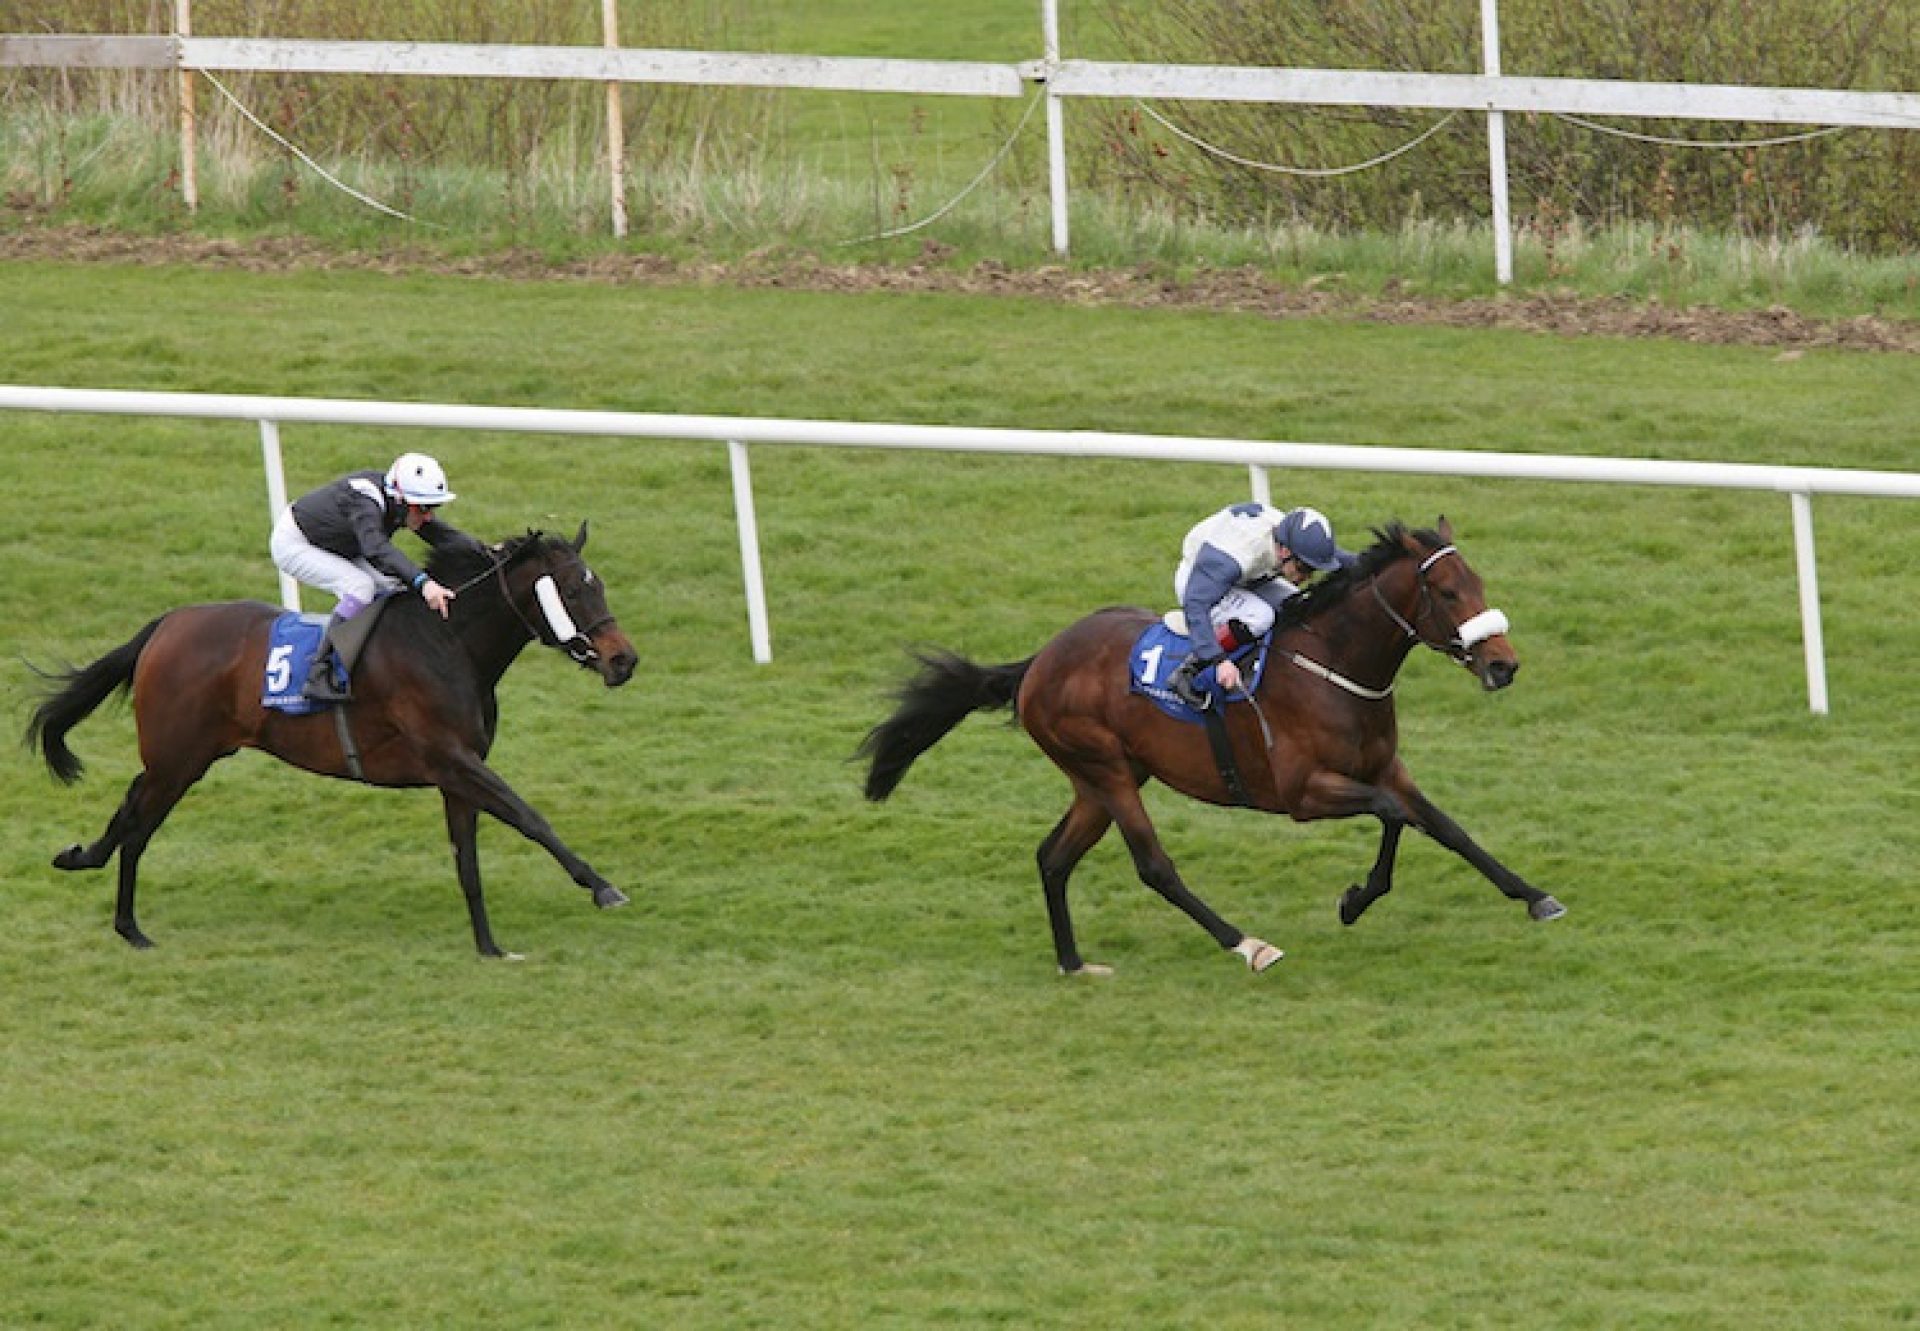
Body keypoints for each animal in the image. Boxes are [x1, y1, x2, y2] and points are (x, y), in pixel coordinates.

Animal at [26, 522, 637, 956]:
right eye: (570, 592)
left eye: (600, 586)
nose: (623, 660)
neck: (449, 644)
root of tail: (166, 624)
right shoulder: (451, 757)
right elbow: (529, 816)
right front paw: (602, 886)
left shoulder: (456, 773)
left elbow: (468, 860)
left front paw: (489, 947)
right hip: (178, 758)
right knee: (138, 823)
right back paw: (127, 923)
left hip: (185, 757)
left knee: (133, 809)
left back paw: (96, 880)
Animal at [864, 518, 1566, 975]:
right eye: (1447, 593)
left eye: (1478, 582)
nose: (1503, 665)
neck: (1334, 668)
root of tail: (1038, 662)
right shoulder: (1304, 793)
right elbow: (1394, 818)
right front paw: (1355, 900)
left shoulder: (1385, 767)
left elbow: (1445, 827)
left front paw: (1536, 897)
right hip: (1105, 768)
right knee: (1154, 866)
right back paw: (1246, 944)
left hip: (1102, 778)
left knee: (1052, 857)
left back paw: (1073, 962)